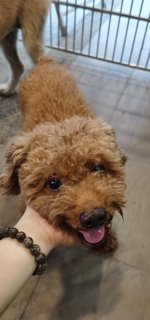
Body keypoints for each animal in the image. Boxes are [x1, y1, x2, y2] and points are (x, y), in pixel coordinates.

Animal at [0, 57, 126, 252]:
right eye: (53, 183)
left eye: (98, 167)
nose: (94, 217)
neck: (58, 120)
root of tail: (44, 61)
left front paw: (107, 239)